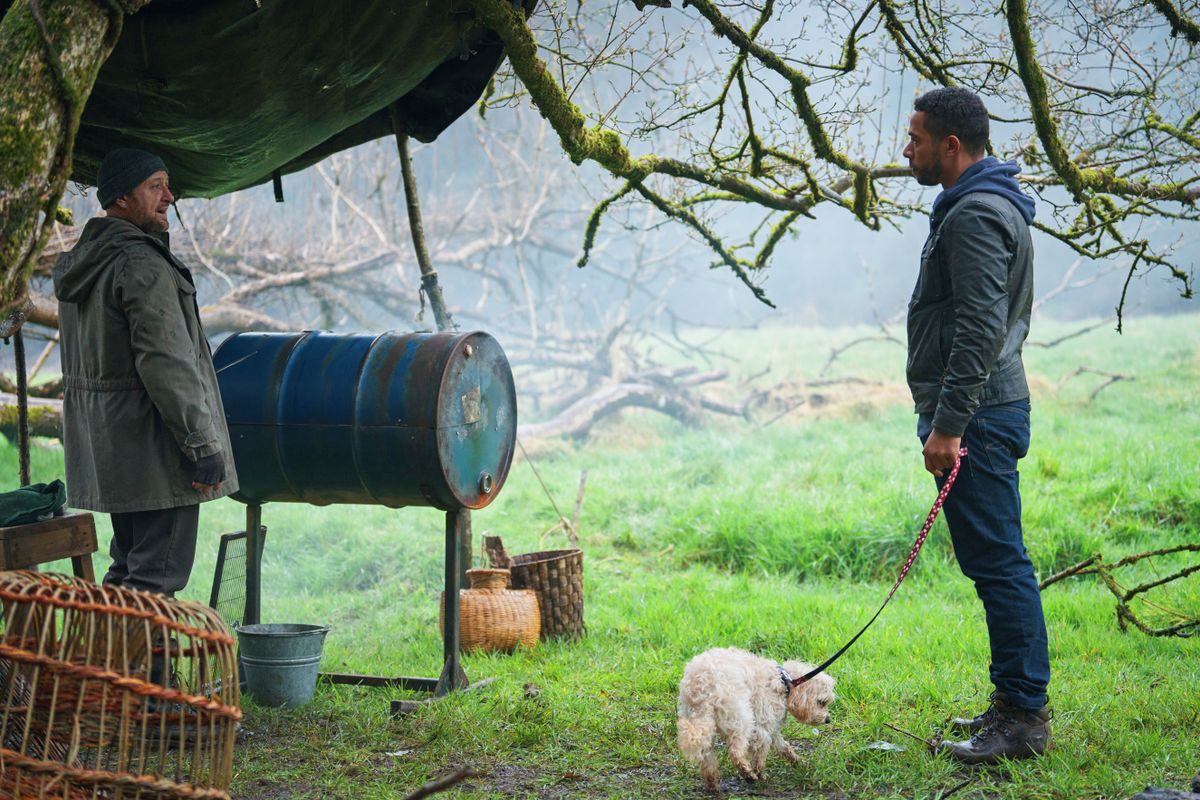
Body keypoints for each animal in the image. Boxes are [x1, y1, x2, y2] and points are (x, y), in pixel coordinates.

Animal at [676, 647, 835, 791]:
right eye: (822, 702)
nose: (828, 720)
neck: (784, 681)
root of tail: (701, 686)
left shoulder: (772, 729)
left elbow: (784, 747)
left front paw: (798, 762)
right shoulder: (762, 726)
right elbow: (760, 754)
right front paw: (761, 775)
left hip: (702, 722)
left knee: (706, 757)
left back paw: (712, 784)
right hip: (742, 718)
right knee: (736, 752)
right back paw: (748, 773)